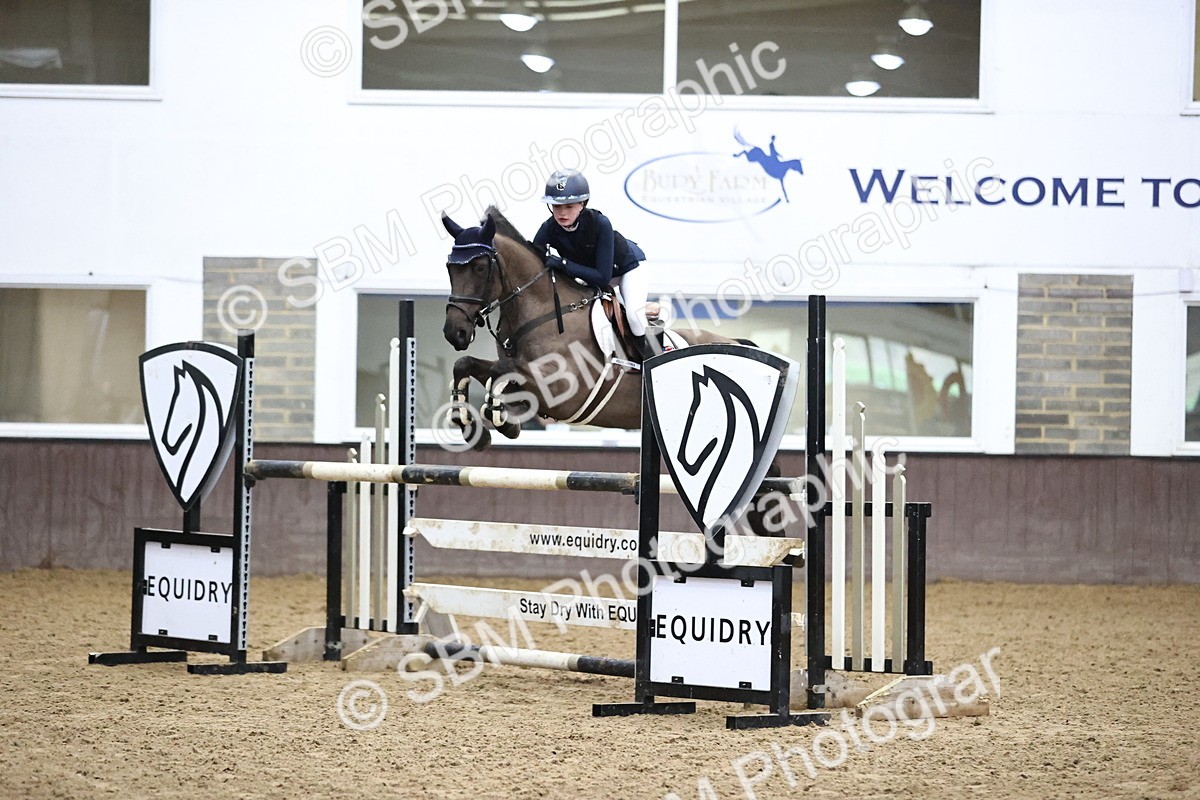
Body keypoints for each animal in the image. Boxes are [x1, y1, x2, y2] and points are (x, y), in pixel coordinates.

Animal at [439, 206, 788, 537]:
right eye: (450, 268)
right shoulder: (520, 374)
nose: (454, 333)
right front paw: (472, 427)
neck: (541, 312)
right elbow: (467, 366)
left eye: (480, 267)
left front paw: (502, 420)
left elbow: (500, 377)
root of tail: (737, 343)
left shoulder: (559, 390)